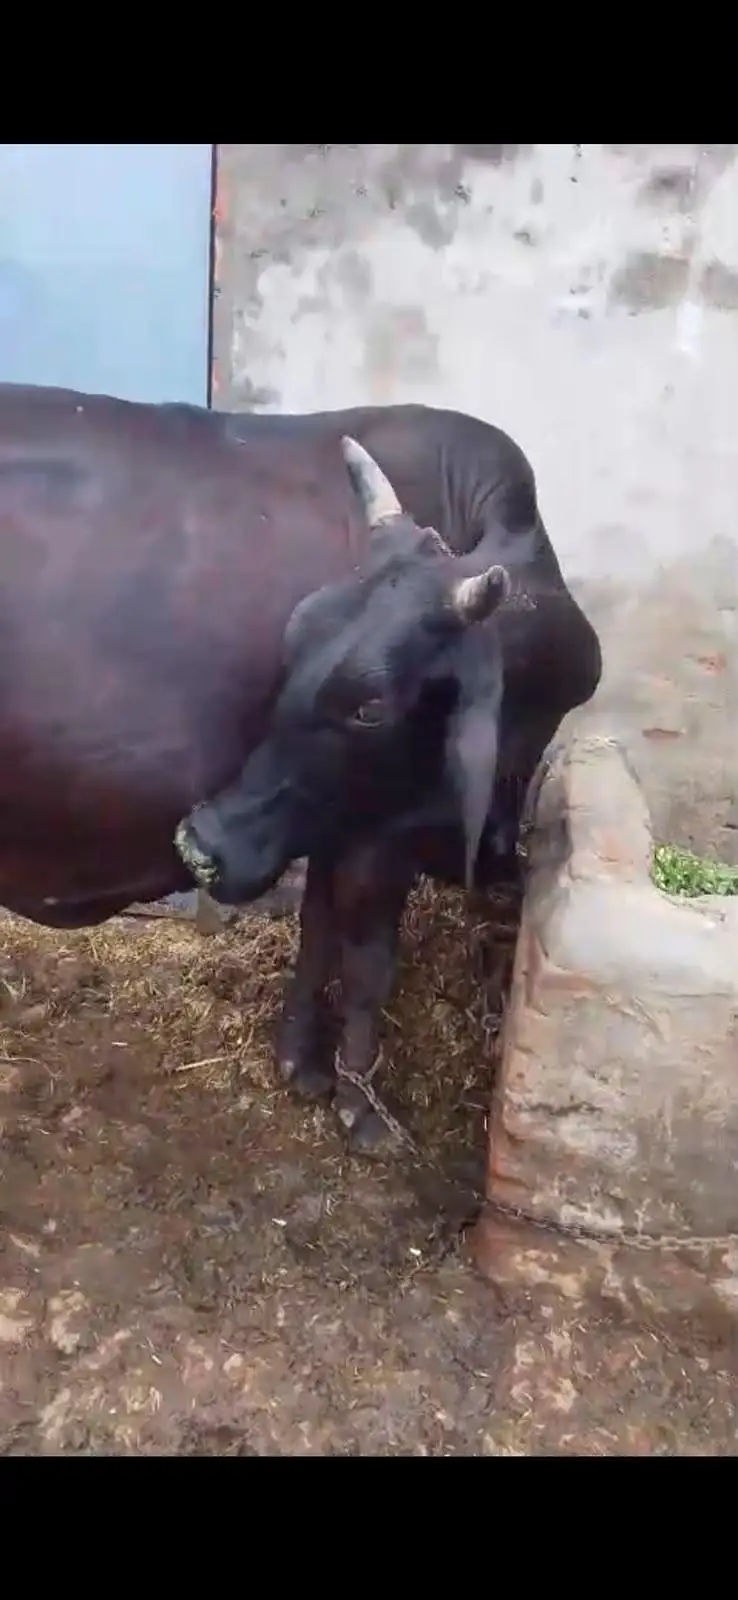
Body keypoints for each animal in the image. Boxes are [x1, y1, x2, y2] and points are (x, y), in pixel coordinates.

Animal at [175, 404, 603, 1155]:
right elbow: (326, 933)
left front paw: (352, 1095)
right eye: (294, 635)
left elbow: (366, 959)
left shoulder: (381, 835)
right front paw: (312, 1066)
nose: (202, 845)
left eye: (371, 706)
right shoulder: (344, 829)